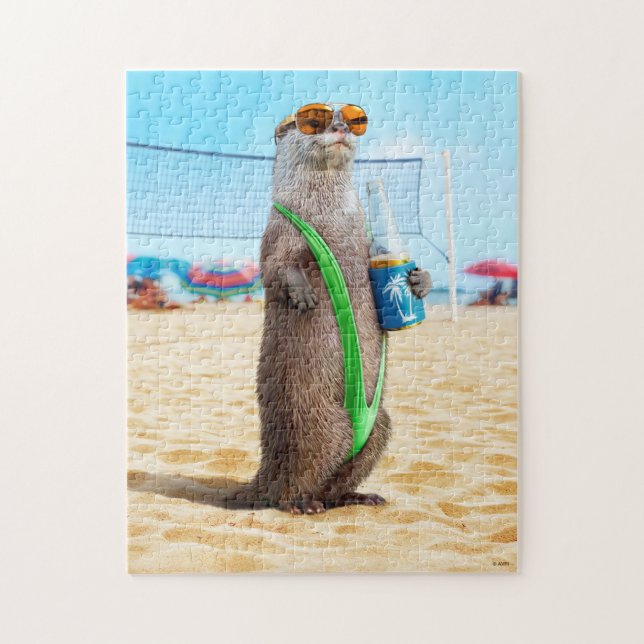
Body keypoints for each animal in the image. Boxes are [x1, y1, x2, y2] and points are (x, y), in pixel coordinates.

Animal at [230, 107, 431, 514]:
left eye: (352, 120)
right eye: (313, 120)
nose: (339, 127)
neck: (331, 218)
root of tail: (266, 469)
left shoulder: (369, 246)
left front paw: (420, 281)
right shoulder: (279, 232)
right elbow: (274, 268)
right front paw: (302, 292)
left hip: (380, 426)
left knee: (340, 477)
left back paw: (357, 496)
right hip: (318, 424)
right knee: (294, 480)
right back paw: (301, 504)